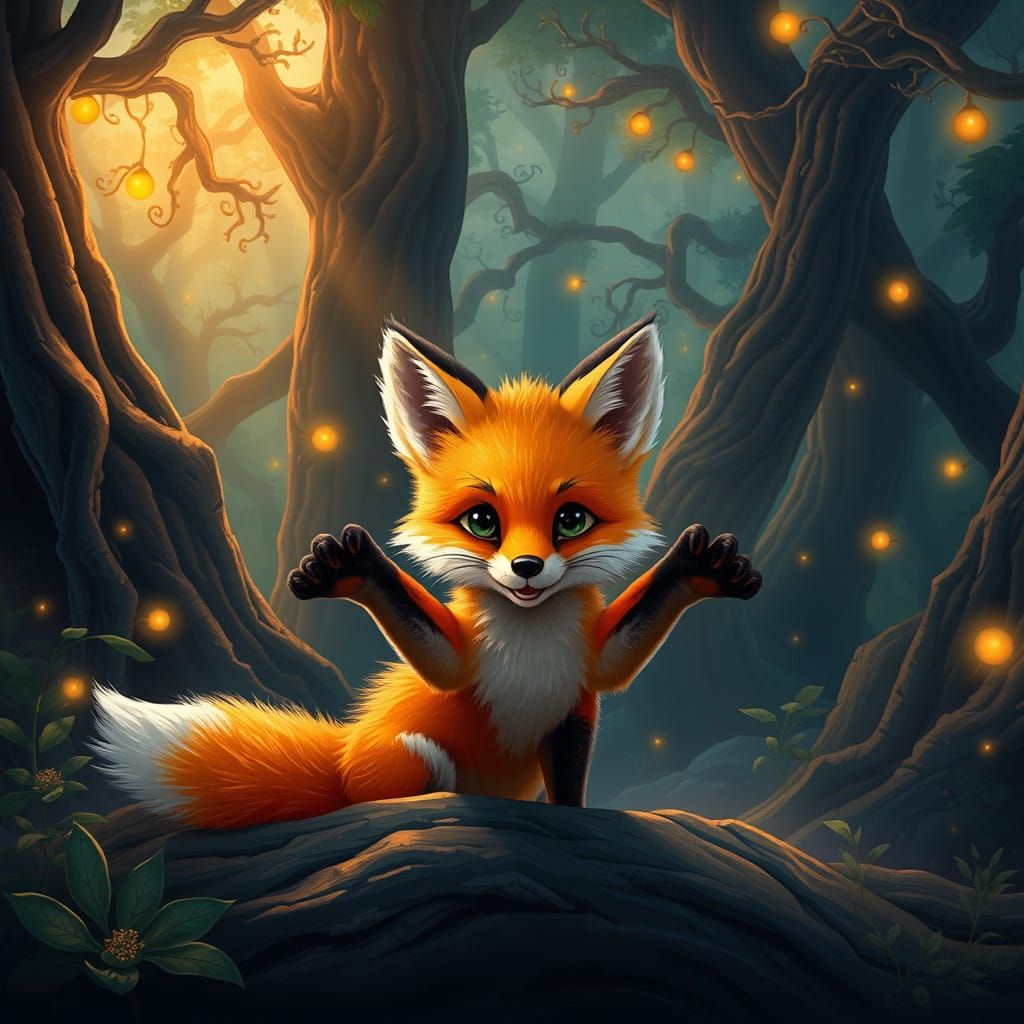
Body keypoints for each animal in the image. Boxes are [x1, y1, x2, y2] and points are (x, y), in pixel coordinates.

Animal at [92, 313, 762, 829]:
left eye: (571, 520)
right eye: (482, 521)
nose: (525, 567)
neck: (529, 646)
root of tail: (342, 755)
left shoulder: (578, 700)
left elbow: (582, 761)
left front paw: (700, 568)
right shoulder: (462, 662)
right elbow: (433, 654)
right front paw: (354, 570)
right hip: (416, 756)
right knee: (385, 795)